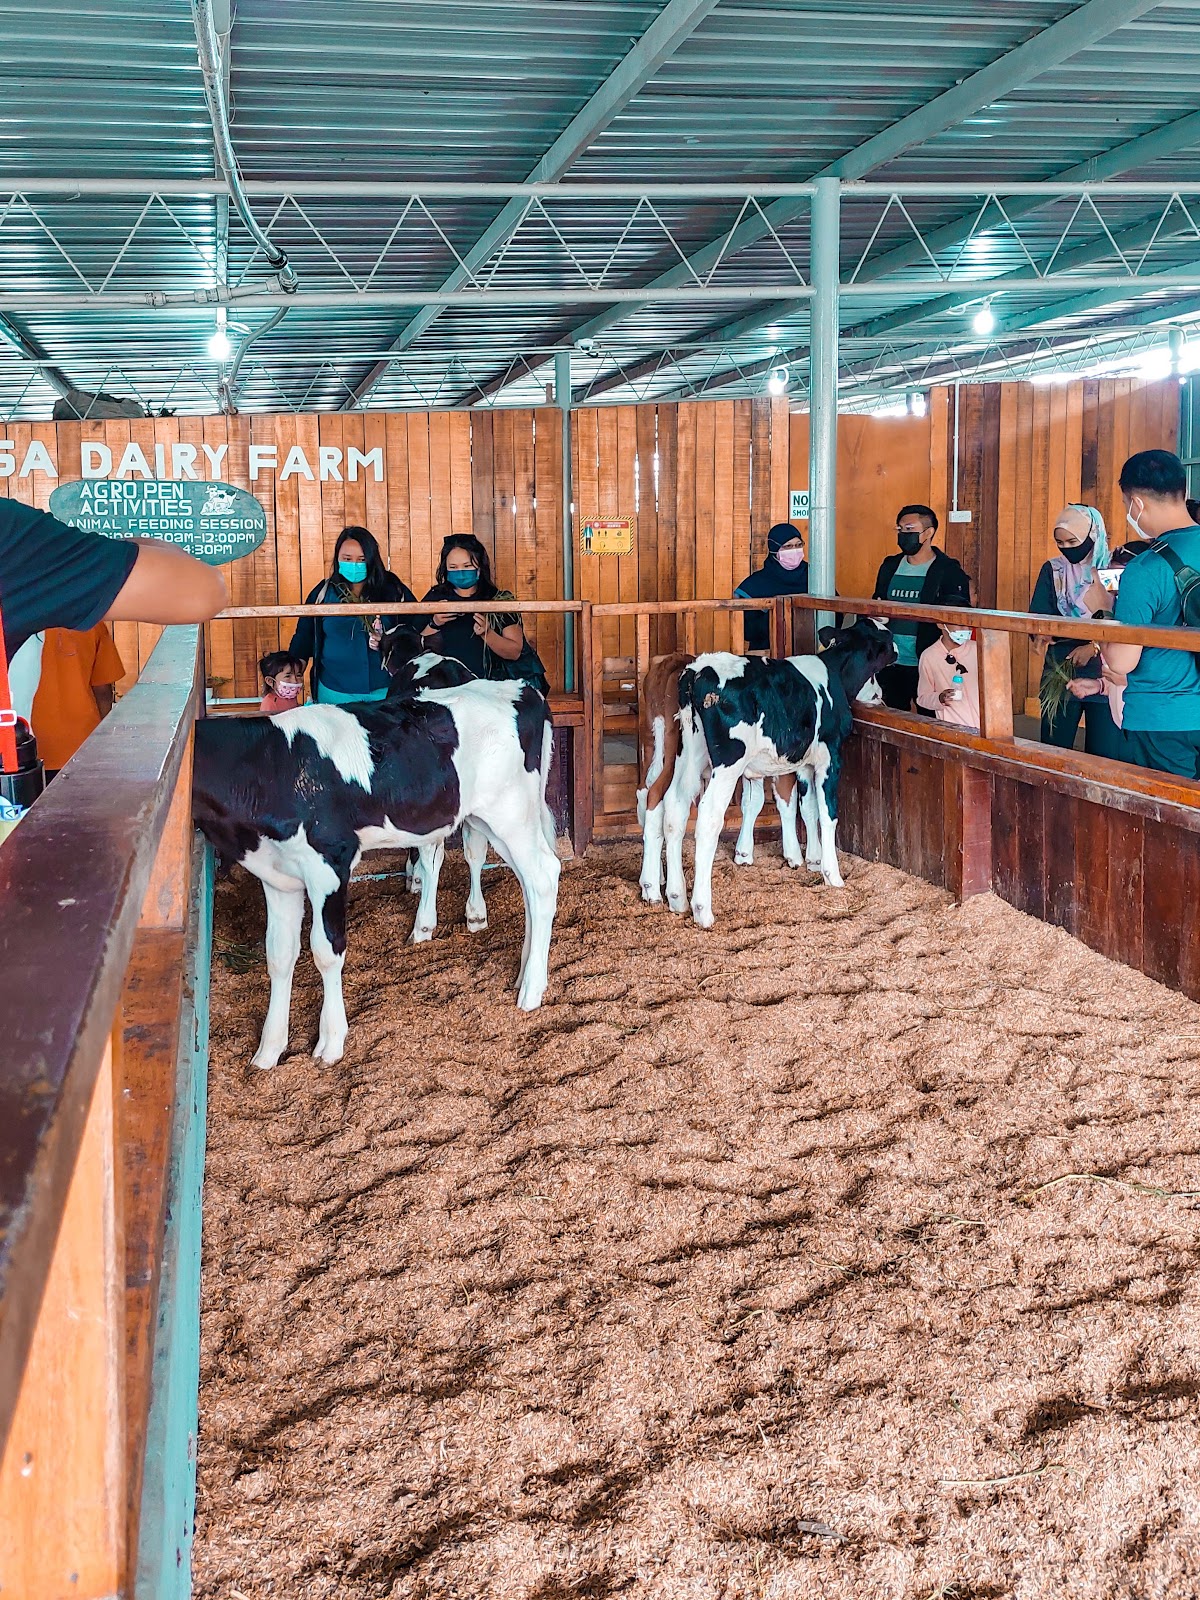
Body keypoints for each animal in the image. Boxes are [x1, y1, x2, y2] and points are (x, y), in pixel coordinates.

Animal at [192, 672, 560, 1062]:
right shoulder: (277, 873)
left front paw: (331, 1042)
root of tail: (520, 688)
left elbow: (326, 951)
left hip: (511, 813)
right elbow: (278, 954)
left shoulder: (330, 863)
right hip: (491, 819)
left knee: (543, 876)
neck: (270, 764)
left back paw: (531, 990)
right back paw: (524, 973)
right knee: (529, 886)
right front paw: (268, 1052)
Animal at [652, 617, 896, 934]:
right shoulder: (830, 757)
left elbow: (808, 808)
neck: (834, 678)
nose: (897, 649)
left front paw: (812, 859)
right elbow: (828, 814)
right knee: (708, 816)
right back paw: (702, 910)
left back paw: (676, 897)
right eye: (885, 637)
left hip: (690, 754)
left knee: (674, 807)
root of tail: (697, 671)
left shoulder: (803, 763)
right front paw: (832, 874)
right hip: (728, 761)